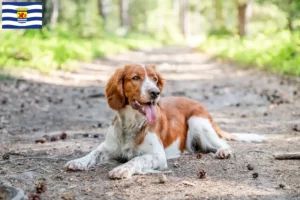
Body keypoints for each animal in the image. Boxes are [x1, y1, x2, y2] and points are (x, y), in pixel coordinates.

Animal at [63, 64, 264, 180]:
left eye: (154, 79)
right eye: (135, 78)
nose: (155, 93)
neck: (131, 124)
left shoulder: (157, 155)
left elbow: (136, 159)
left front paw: (122, 169)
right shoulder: (108, 147)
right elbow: (93, 153)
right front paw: (78, 162)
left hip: (198, 122)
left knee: (223, 143)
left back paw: (223, 152)